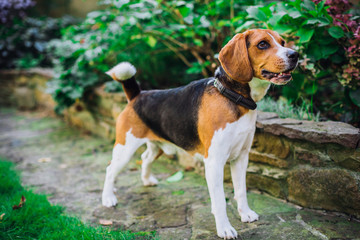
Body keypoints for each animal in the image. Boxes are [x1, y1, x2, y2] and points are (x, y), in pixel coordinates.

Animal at [101, 29, 298, 239]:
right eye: (262, 44)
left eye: (282, 42)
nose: (295, 55)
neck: (232, 96)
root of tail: (137, 95)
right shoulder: (214, 162)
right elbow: (219, 200)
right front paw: (224, 228)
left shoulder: (241, 157)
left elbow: (241, 190)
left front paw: (245, 214)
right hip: (125, 148)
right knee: (110, 169)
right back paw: (108, 197)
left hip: (157, 146)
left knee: (146, 158)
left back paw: (146, 181)